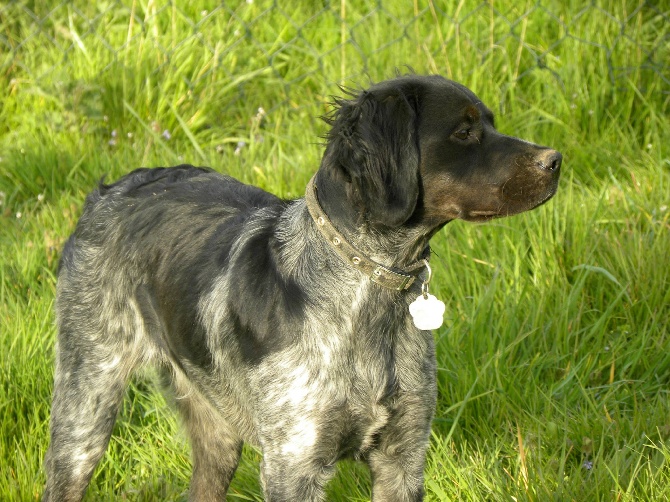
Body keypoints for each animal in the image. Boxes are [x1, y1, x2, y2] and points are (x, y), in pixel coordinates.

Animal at [43, 72, 560, 500]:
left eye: (490, 123)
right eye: (464, 132)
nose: (555, 159)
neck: (369, 294)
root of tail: (109, 191)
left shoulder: (404, 456)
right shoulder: (295, 464)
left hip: (217, 432)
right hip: (84, 413)